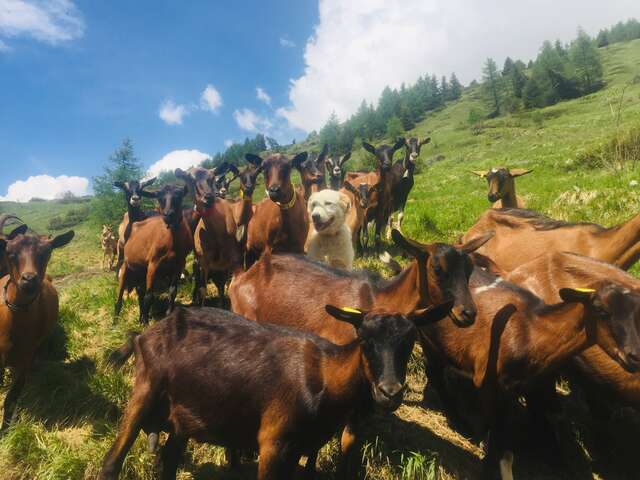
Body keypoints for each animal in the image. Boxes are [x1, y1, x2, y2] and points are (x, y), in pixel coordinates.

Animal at [0, 227, 74, 430]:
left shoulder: (24, 360)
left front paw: (6, 429)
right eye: (10, 253)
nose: (29, 280)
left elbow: (11, 399)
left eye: (46, 253)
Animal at [99, 302, 450, 478]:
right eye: (365, 340)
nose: (390, 392)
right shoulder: (273, 442)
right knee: (112, 462)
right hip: (143, 393)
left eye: (410, 341)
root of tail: (143, 334)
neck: (324, 377)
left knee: (168, 463)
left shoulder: (297, 449)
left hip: (182, 416)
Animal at [114, 184, 192, 326]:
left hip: (139, 272)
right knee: (120, 297)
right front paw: (145, 322)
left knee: (140, 292)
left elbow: (173, 291)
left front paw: (168, 314)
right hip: (125, 267)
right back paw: (115, 322)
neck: (172, 241)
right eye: (159, 198)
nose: (168, 215)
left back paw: (140, 316)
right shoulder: (153, 264)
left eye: (178, 197)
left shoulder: (179, 264)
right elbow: (149, 295)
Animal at [416, 266, 640, 480]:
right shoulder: (490, 385)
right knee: (434, 373)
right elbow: (496, 443)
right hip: (429, 339)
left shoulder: (520, 388)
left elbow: (506, 445)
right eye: (600, 309)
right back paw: (459, 421)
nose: (634, 356)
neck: (530, 330)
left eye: (636, 316)